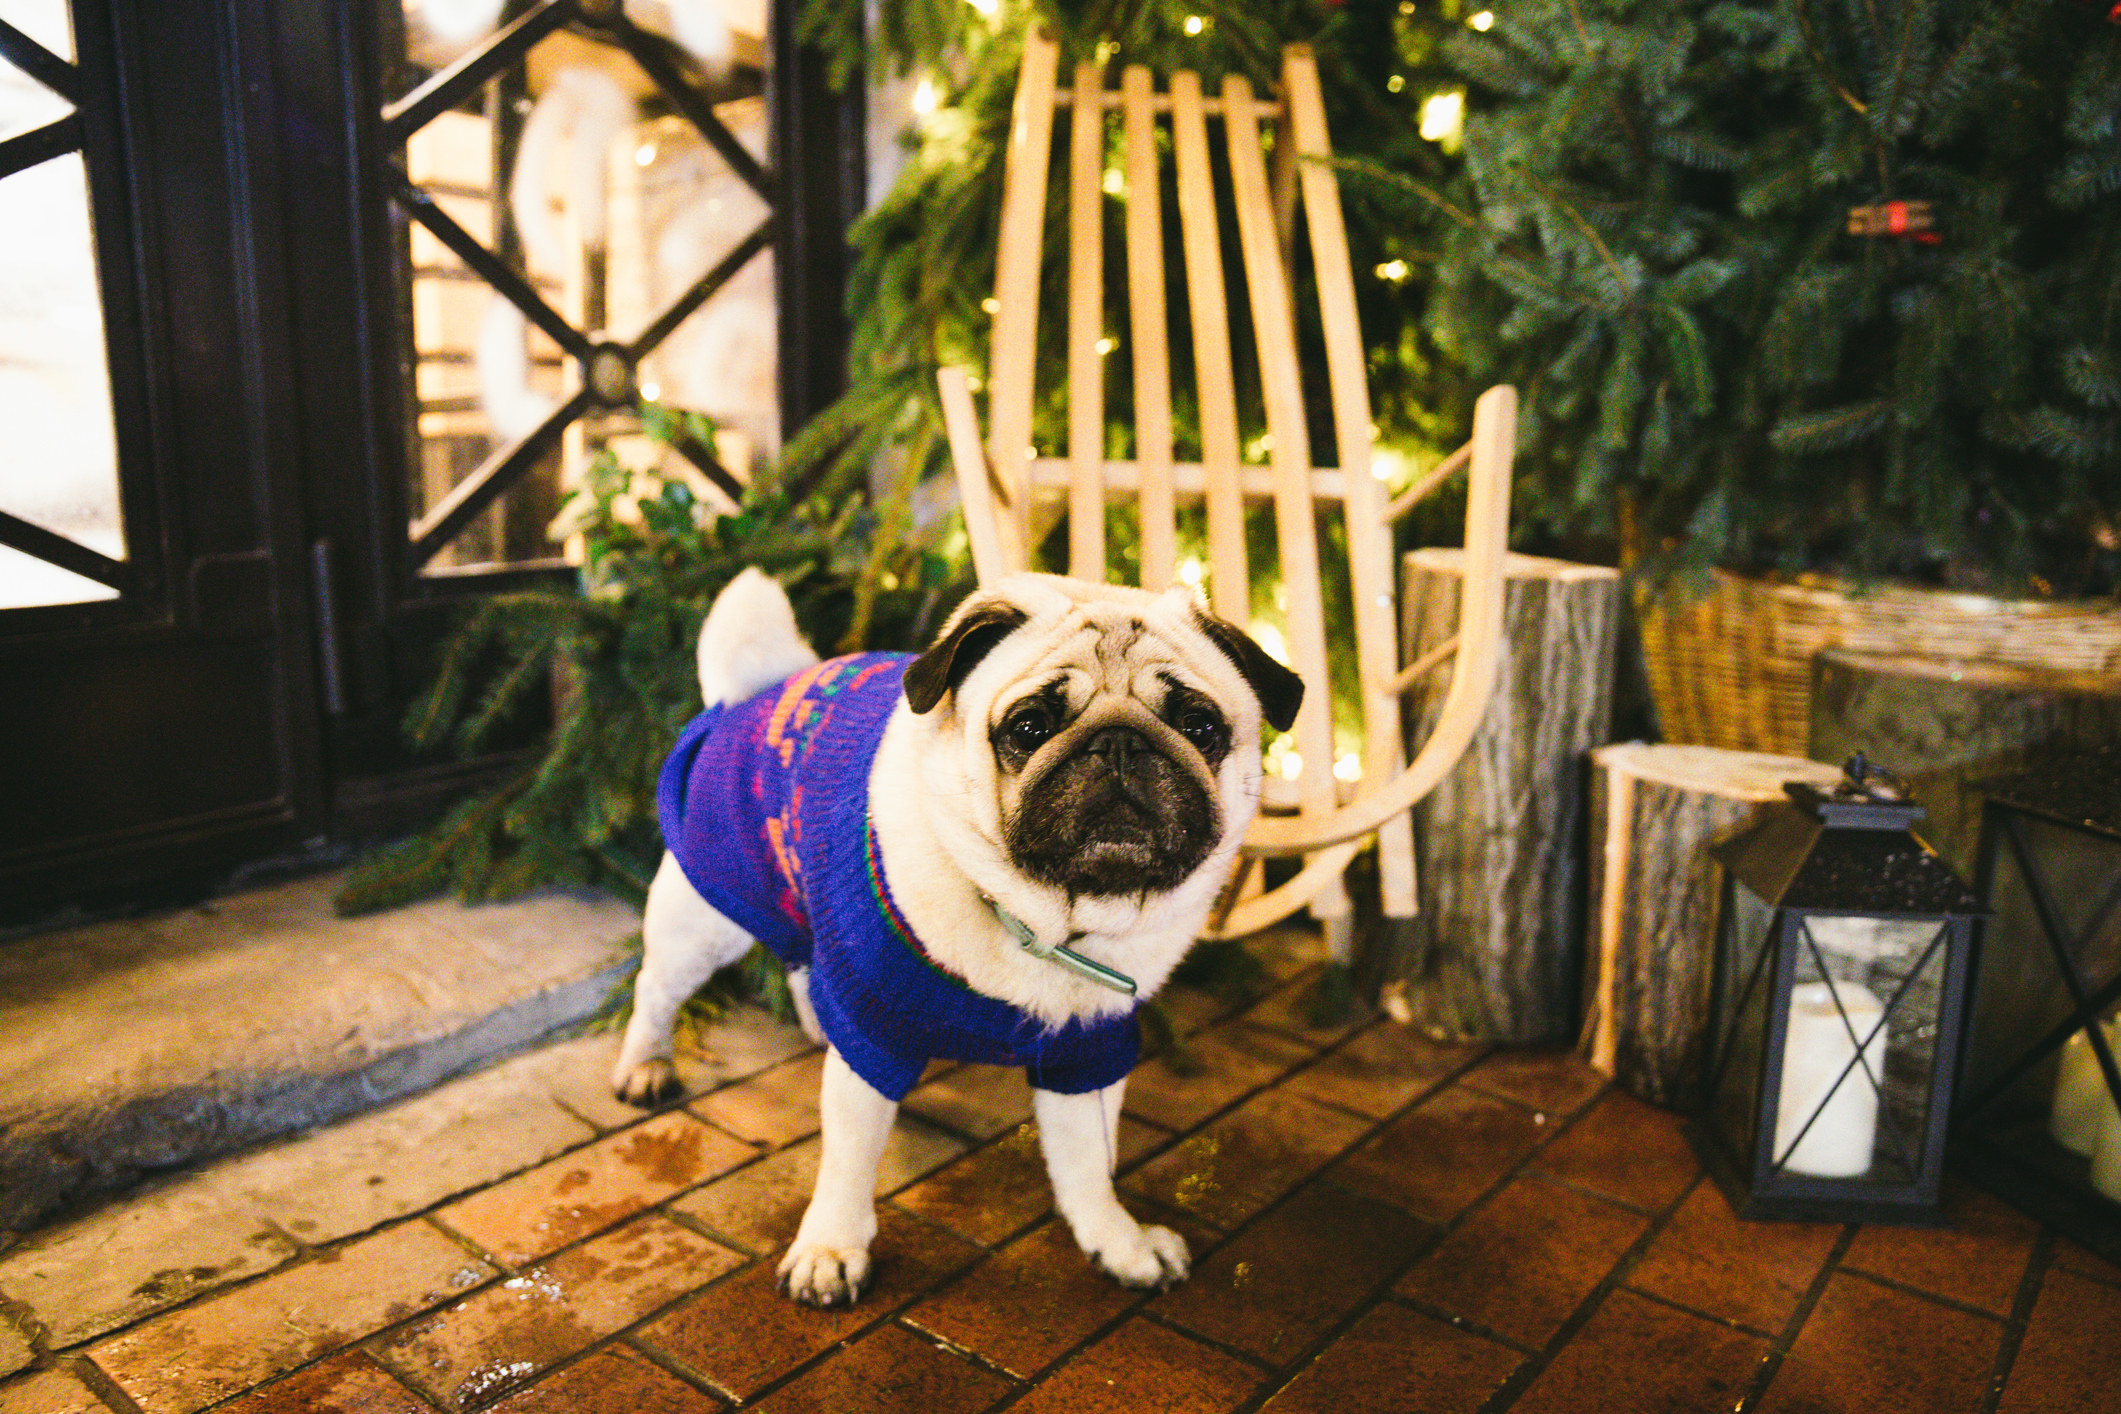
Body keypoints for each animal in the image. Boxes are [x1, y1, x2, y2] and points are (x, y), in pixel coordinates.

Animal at [615, 559, 1298, 1305]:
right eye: (1028, 727)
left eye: (1199, 726)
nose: (1119, 743)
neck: (1042, 921)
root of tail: (760, 686)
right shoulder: (877, 1030)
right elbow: (849, 1158)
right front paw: (830, 1248)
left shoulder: (1086, 1054)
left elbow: (1088, 1164)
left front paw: (1116, 1242)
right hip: (703, 917)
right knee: (656, 990)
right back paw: (644, 1067)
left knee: (802, 967)